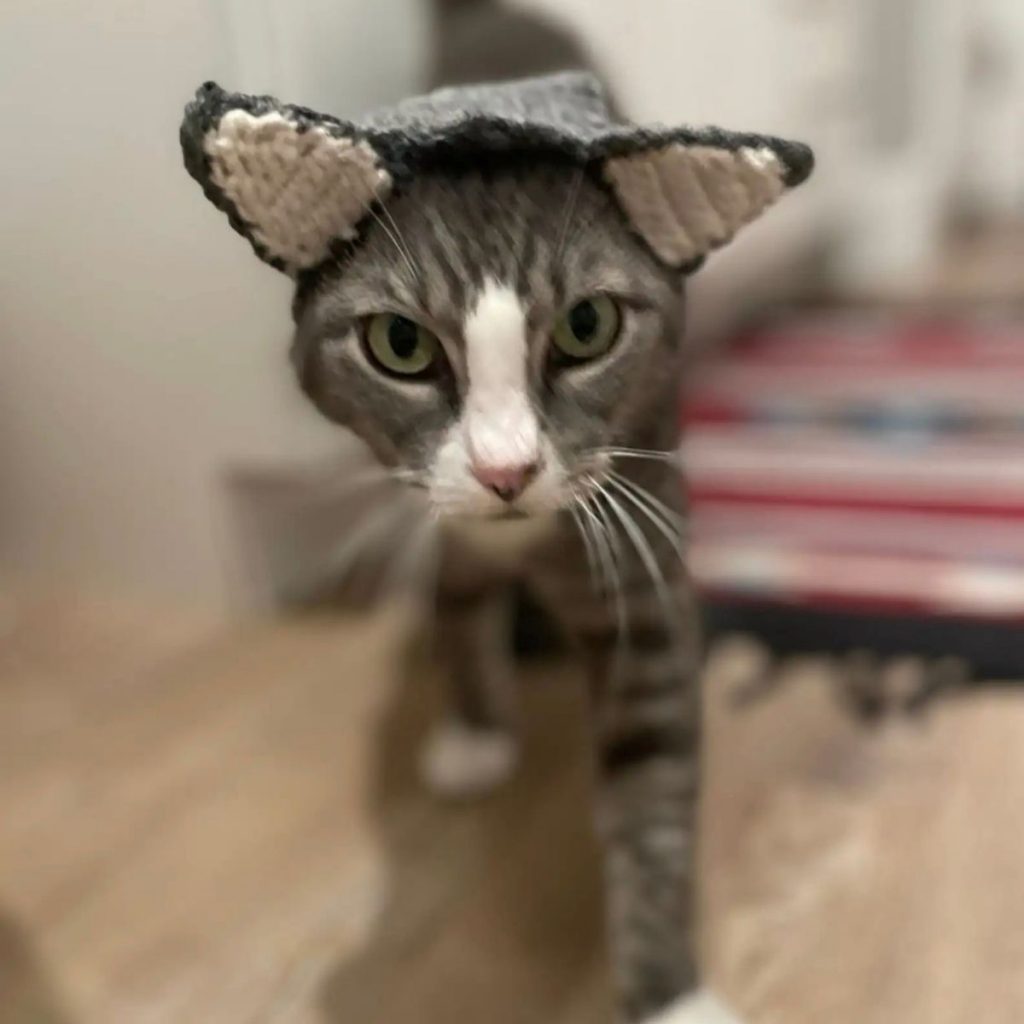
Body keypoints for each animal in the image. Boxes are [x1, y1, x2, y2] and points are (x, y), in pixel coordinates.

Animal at [180, 74, 811, 1024]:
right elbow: (456, 602)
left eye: (588, 326)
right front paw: (476, 730)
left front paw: (669, 994)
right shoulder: (437, 524)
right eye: (399, 344)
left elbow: (651, 787)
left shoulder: (644, 562)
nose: (505, 469)